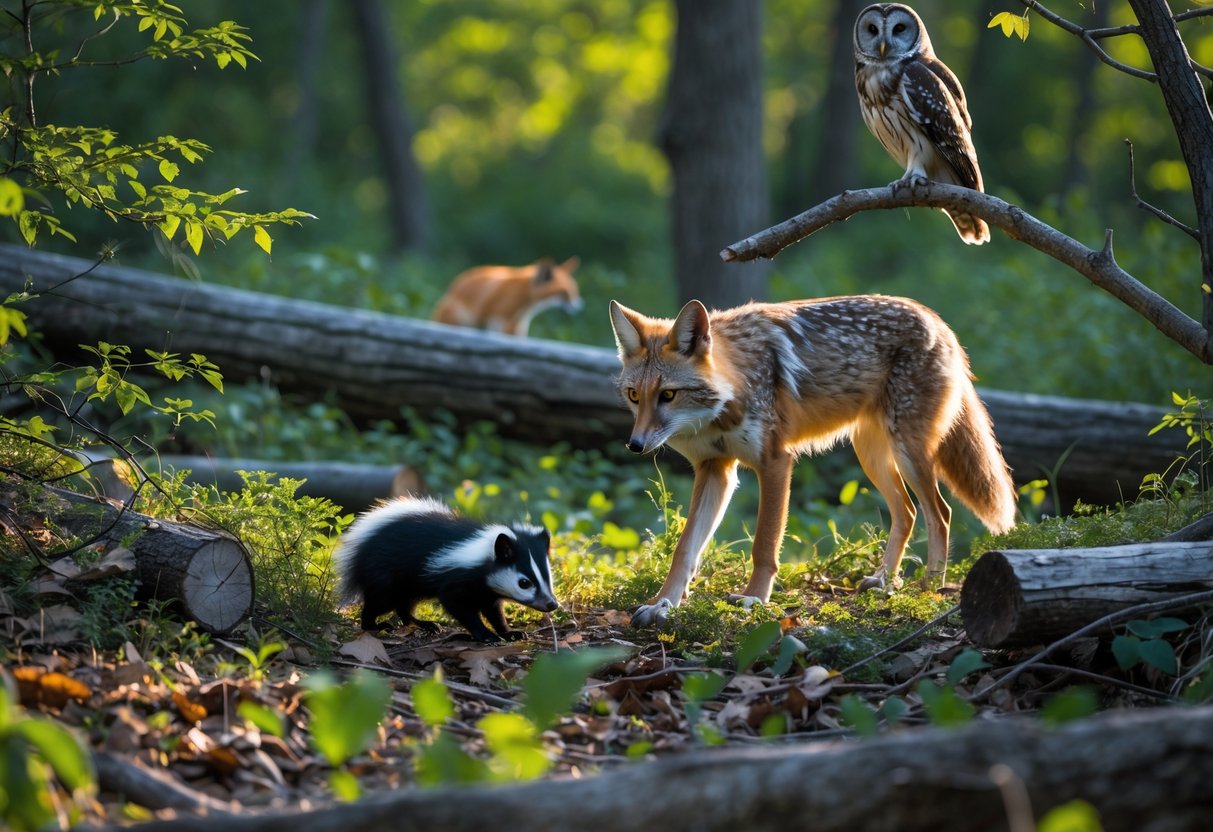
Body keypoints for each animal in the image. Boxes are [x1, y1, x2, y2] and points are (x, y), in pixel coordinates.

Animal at [432, 257, 582, 337]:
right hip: (462, 319)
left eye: (574, 291)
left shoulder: (518, 325)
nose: (578, 307)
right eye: (565, 293)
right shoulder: (502, 320)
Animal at [609, 295, 1016, 626]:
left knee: (940, 514)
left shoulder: (775, 461)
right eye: (634, 395)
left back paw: (929, 588)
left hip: (908, 453)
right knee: (908, 513)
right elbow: (685, 549)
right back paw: (884, 582)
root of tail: (935, 317)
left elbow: (764, 545)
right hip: (872, 458)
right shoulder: (716, 470)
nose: (634, 445)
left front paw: (754, 598)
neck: (729, 395)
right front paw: (663, 603)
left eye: (668, 395)